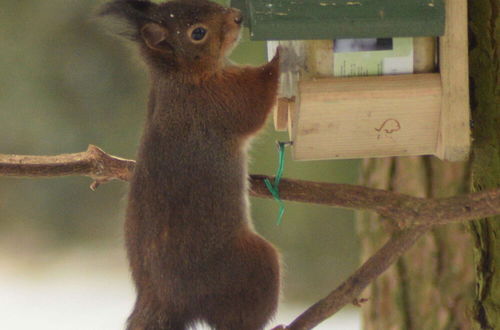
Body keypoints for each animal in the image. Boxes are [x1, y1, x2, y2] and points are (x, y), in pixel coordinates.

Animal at [98, 0, 282, 330]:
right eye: (198, 33)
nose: (238, 16)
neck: (180, 77)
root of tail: (161, 300)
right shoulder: (217, 103)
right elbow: (253, 102)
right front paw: (280, 59)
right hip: (250, 266)